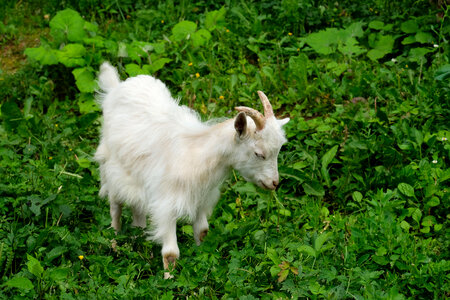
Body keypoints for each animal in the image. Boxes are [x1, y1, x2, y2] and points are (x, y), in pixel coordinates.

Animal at [95, 62, 290, 278]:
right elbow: (171, 253)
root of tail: (116, 87)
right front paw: (169, 280)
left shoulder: (201, 199)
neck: (198, 155)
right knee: (115, 207)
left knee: (137, 210)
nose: (274, 183)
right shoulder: (166, 205)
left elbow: (202, 232)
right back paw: (114, 242)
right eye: (259, 154)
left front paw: (202, 261)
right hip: (111, 169)